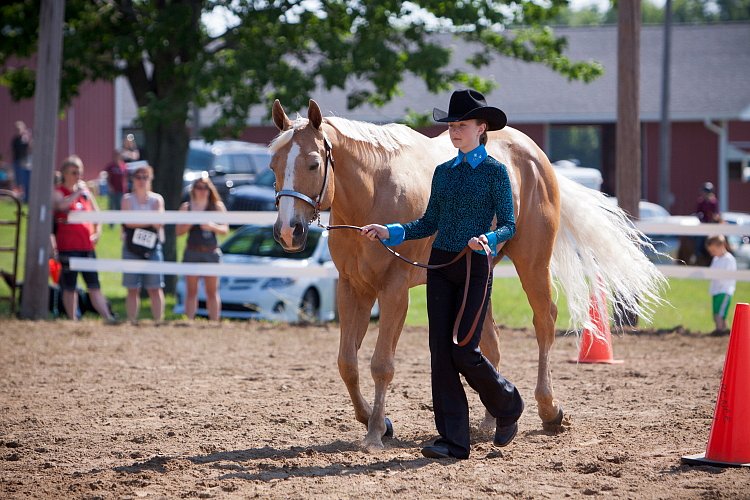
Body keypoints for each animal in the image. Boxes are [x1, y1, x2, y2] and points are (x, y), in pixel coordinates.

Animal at [268, 99, 664, 452]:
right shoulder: (353, 288)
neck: (375, 191)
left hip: (533, 264)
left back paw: (549, 410)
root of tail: (536, 156)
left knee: (544, 322)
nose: (288, 232)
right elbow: (347, 363)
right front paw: (375, 421)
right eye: (273, 164)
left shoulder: (394, 291)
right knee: (488, 343)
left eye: (313, 163)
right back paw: (493, 420)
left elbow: (381, 365)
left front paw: (376, 432)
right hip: (481, 277)